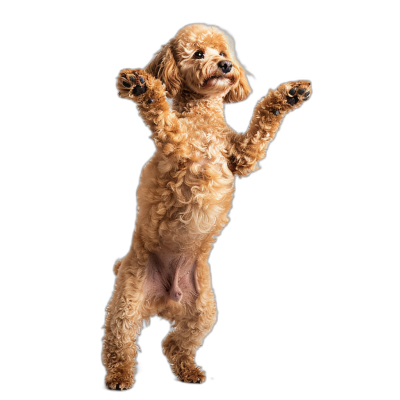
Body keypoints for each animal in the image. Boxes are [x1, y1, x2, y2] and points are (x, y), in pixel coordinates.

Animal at [101, 23, 312, 390]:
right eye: (198, 54)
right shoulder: (179, 150)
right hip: (127, 300)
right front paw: (142, 85)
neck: (204, 117)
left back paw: (189, 371)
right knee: (119, 342)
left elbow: (261, 124)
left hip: (203, 310)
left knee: (175, 344)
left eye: (224, 54)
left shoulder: (243, 156)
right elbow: (163, 117)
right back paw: (119, 376)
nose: (226, 66)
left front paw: (290, 95)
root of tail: (163, 301)